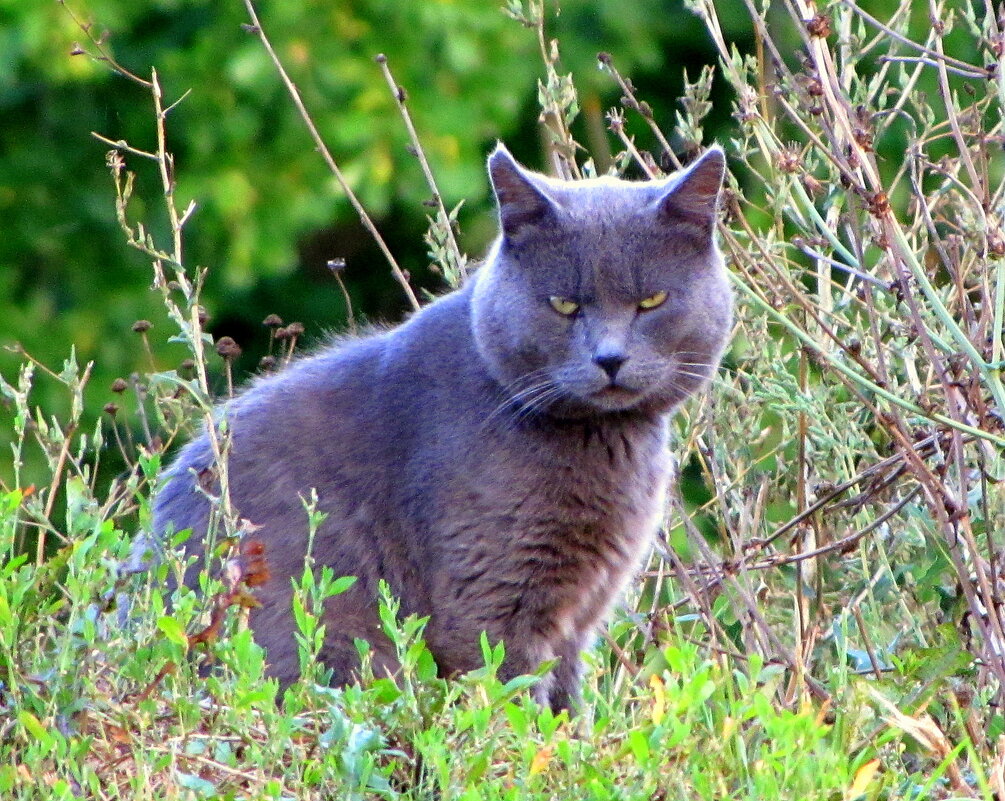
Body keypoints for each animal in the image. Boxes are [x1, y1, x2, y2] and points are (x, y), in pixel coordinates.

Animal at [150, 141, 731, 707]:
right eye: (564, 304)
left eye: (651, 301)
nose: (609, 358)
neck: (609, 443)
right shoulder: (492, 598)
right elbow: (513, 700)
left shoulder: (578, 615)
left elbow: (566, 706)